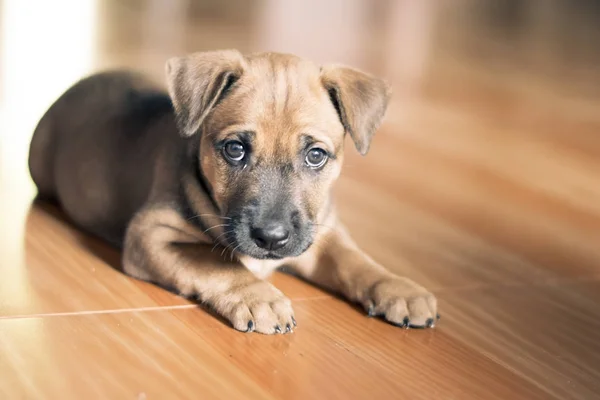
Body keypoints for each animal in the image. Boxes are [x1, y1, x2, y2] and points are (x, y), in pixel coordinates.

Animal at [28, 50, 438, 334]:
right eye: (235, 149)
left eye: (316, 155)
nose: (271, 237)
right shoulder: (151, 234)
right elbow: (215, 261)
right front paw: (260, 297)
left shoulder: (321, 233)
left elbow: (354, 260)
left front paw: (398, 288)